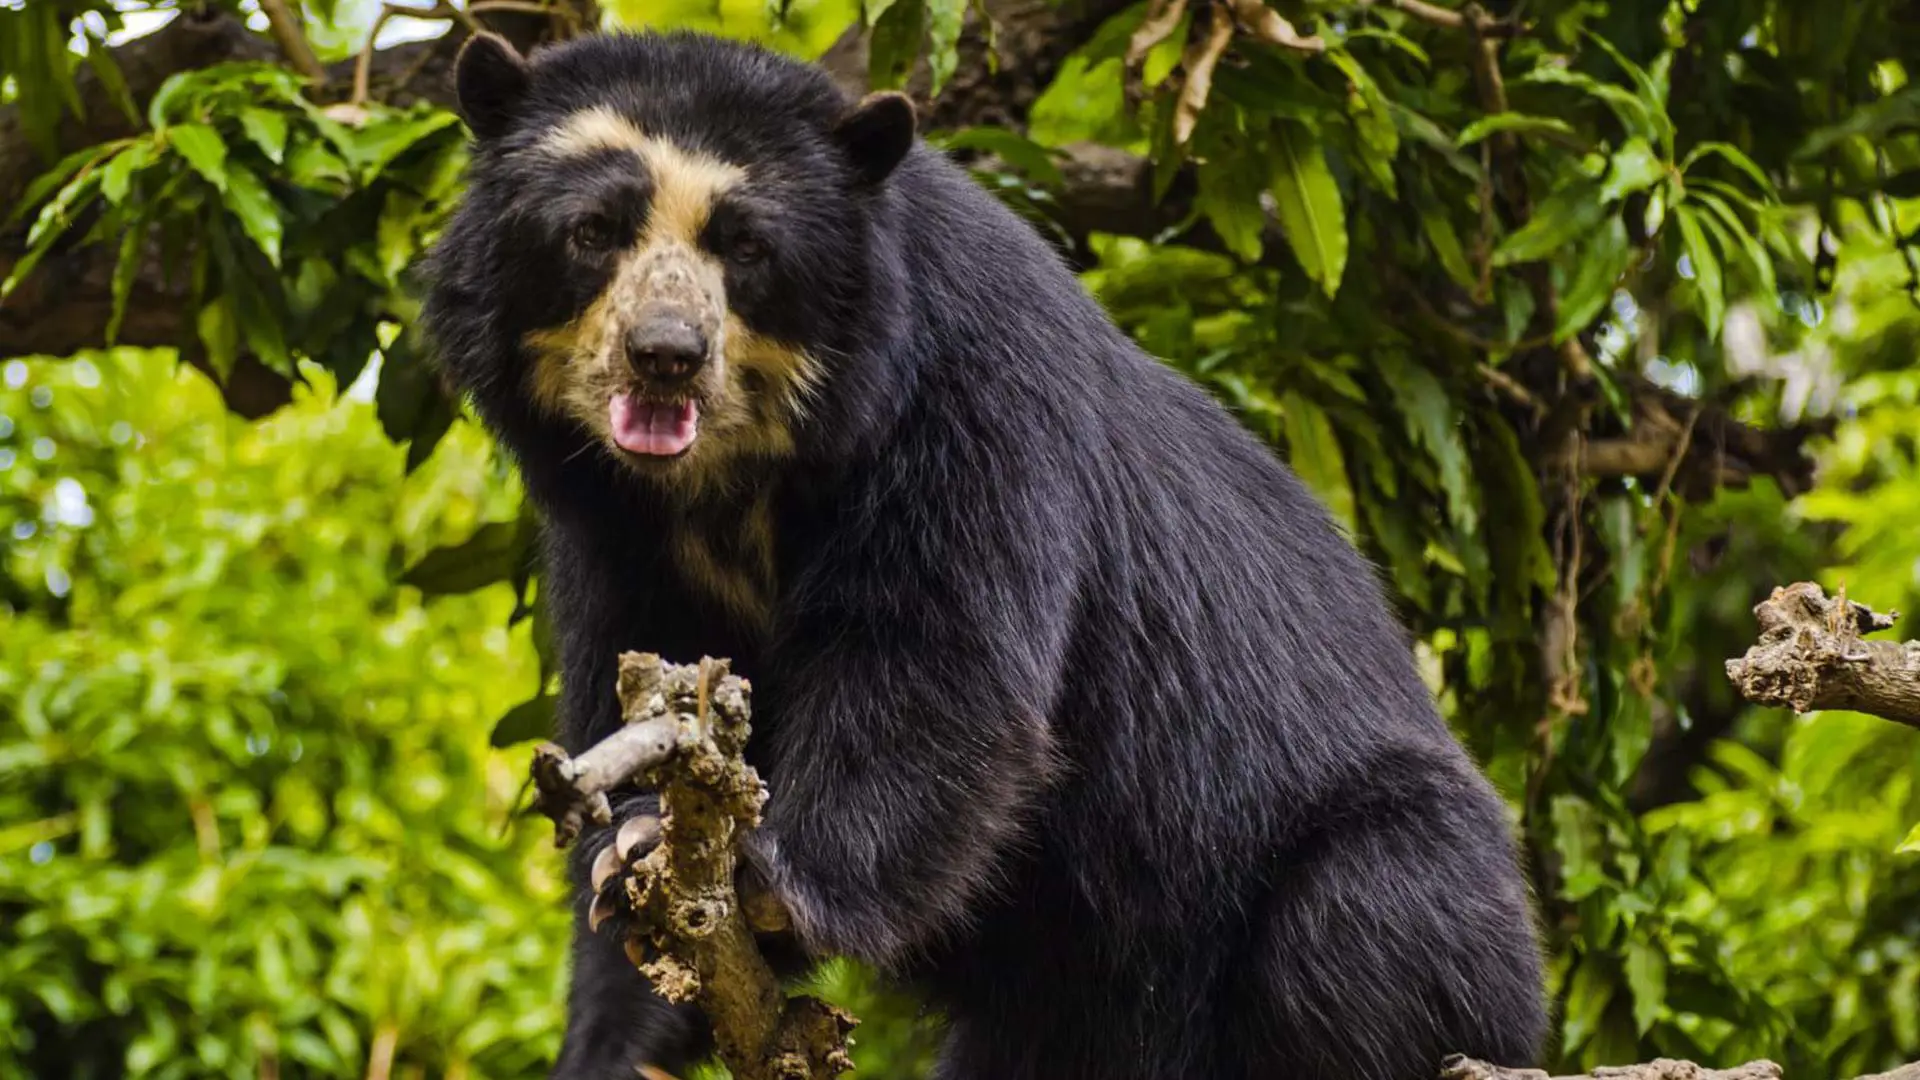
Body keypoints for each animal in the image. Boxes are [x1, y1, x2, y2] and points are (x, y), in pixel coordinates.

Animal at [422, 28, 1549, 1080]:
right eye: (593, 233)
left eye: (745, 247)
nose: (666, 355)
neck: (735, 482)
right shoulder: (611, 532)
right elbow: (642, 689)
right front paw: (632, 913)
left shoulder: (968, 399)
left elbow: (936, 664)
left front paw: (769, 882)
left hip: (1372, 874)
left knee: (1361, 926)